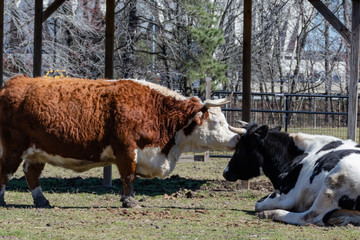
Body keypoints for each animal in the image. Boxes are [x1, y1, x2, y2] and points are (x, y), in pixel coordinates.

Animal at [0, 75, 245, 208]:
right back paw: (2, 199)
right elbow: (128, 175)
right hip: (13, 147)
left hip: (37, 151)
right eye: (217, 122)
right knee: (5, 172)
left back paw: (42, 200)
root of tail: (16, 82)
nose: (237, 138)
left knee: (32, 173)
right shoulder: (126, 148)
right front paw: (129, 201)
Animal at [224, 123, 360, 226]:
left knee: (310, 217)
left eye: (239, 149)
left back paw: (271, 213)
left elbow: (257, 204)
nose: (225, 172)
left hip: (334, 181)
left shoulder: (287, 196)